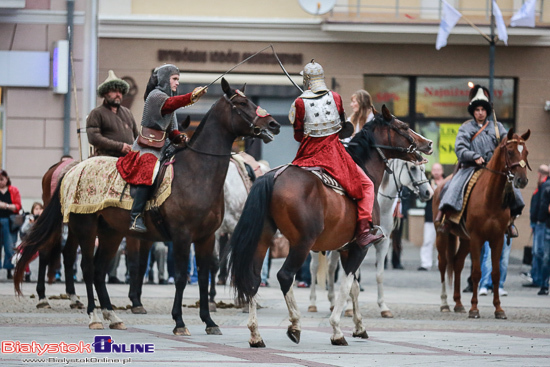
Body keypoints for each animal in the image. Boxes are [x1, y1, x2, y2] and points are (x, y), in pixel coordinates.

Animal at [15, 78, 282, 336]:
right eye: (242, 103)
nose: (273, 124)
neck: (197, 172)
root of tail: (72, 169)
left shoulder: (206, 237)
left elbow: (204, 277)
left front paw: (209, 321)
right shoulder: (182, 236)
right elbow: (180, 277)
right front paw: (179, 321)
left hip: (111, 233)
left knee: (99, 270)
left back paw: (112, 316)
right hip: (85, 228)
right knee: (85, 266)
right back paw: (92, 315)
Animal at [310, 161, 436, 320]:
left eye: (423, 169)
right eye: (412, 168)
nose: (428, 192)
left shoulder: (383, 243)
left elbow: (379, 274)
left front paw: (383, 307)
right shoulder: (358, 246)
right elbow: (354, 276)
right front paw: (350, 308)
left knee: (331, 267)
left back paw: (333, 302)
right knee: (314, 267)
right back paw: (313, 303)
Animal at [434, 128, 532, 320]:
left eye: (526, 152)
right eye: (510, 151)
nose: (522, 180)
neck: (490, 197)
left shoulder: (497, 239)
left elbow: (495, 273)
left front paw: (499, 309)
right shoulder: (477, 238)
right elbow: (477, 273)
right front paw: (474, 309)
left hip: (465, 239)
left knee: (457, 263)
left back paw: (458, 304)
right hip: (442, 234)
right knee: (443, 264)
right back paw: (444, 304)